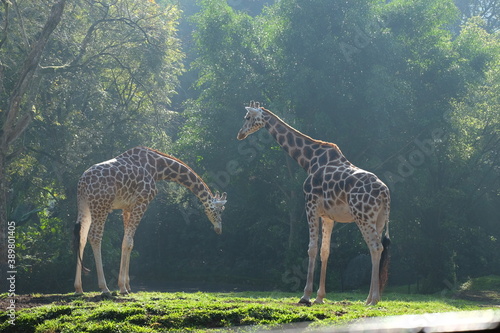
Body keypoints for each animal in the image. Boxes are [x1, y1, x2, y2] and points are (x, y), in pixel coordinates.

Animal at [73, 145, 228, 294]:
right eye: (220, 210)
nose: (219, 229)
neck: (157, 169)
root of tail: (82, 182)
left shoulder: (127, 207)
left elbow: (129, 242)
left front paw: (127, 286)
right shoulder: (142, 202)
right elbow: (127, 242)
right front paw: (122, 287)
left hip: (84, 206)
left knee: (82, 237)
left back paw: (78, 288)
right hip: (101, 205)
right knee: (95, 236)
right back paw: (104, 288)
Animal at [237, 100, 390, 304]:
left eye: (247, 117)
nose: (240, 134)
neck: (308, 160)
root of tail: (385, 193)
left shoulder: (310, 205)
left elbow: (311, 248)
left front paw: (305, 295)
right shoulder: (328, 216)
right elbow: (325, 251)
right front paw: (319, 297)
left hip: (363, 217)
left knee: (375, 247)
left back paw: (373, 299)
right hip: (378, 219)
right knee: (377, 249)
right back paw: (368, 299)